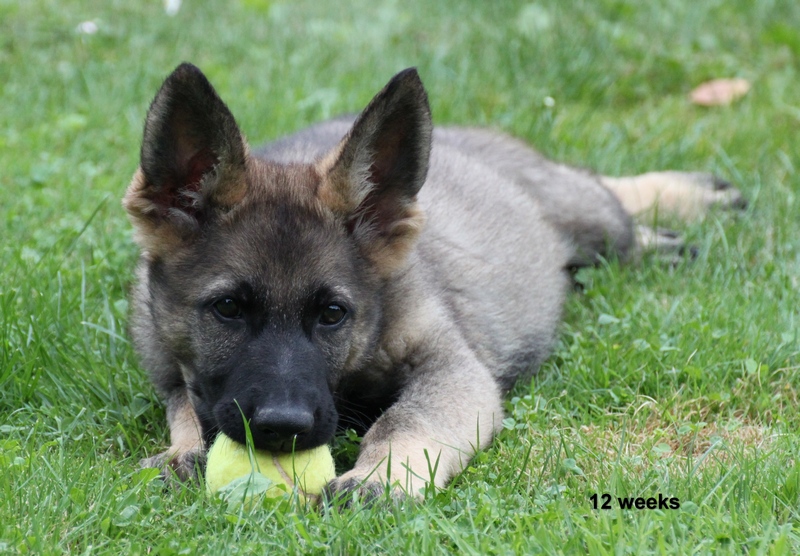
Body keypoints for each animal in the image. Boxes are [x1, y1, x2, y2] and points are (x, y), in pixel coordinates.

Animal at [126, 64, 743, 499]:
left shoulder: (452, 369)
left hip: (587, 217)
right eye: (228, 308)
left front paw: (379, 478)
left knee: (607, 196)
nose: (284, 427)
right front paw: (183, 452)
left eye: (332, 315)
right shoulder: (171, 369)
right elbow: (185, 406)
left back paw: (688, 203)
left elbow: (405, 418)